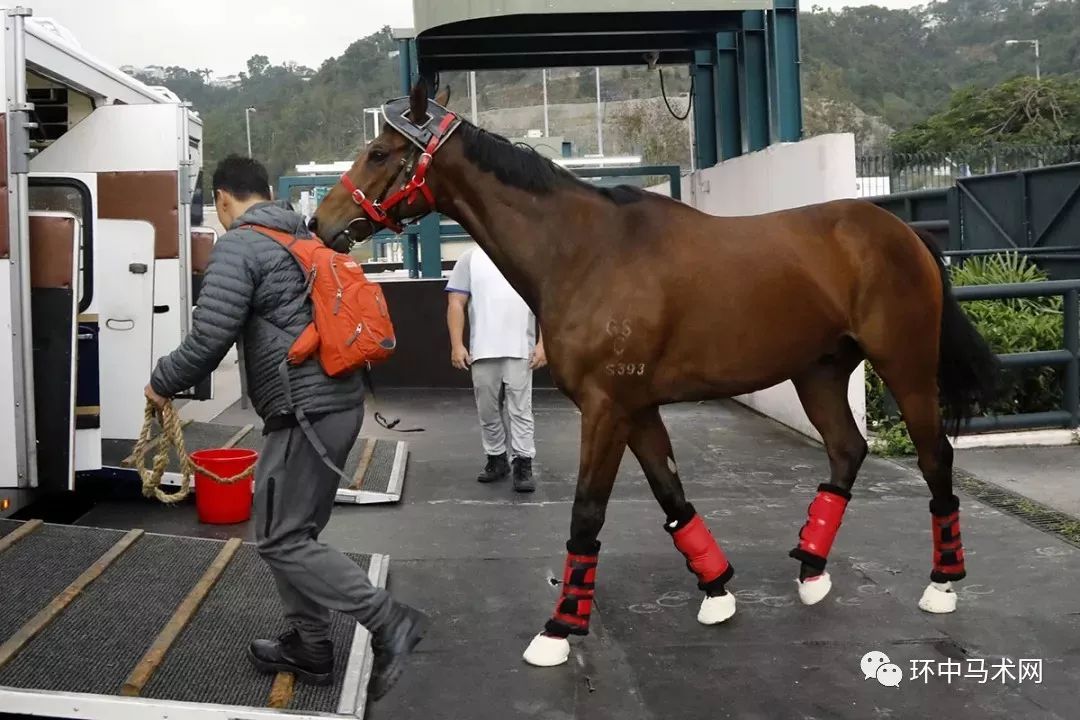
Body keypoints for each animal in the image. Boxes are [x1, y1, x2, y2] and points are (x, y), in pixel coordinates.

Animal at [308, 81, 997, 669]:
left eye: (378, 152)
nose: (322, 223)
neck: (585, 253)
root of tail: (902, 229)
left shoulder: (606, 407)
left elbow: (587, 512)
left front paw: (560, 628)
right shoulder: (636, 408)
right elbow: (670, 493)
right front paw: (717, 589)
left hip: (906, 367)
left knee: (934, 457)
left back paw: (942, 584)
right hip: (818, 373)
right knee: (848, 450)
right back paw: (811, 569)